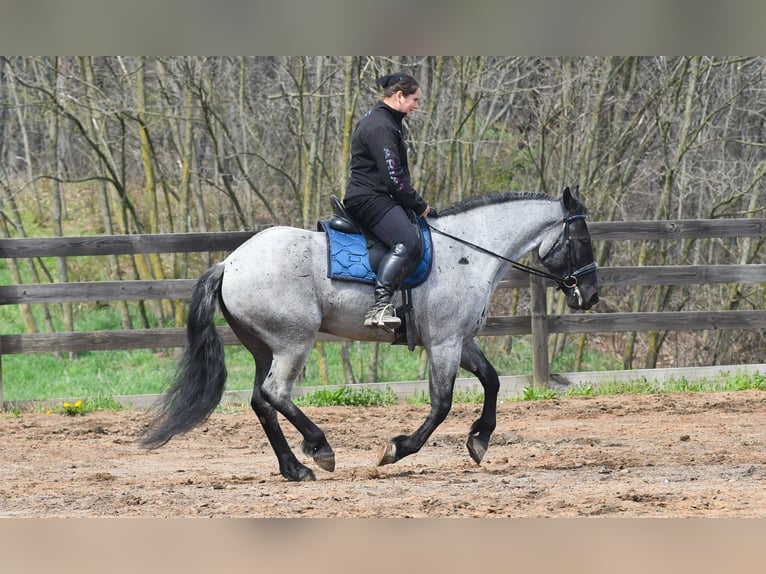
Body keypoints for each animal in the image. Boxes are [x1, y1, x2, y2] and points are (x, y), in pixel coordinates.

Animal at [141, 186, 599, 482]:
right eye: (580, 238)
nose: (590, 296)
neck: (468, 252)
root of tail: (230, 263)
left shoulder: (460, 342)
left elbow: (492, 380)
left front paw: (480, 439)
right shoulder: (445, 344)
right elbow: (442, 405)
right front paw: (397, 449)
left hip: (263, 348)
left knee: (261, 402)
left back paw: (294, 469)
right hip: (292, 343)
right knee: (275, 394)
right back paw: (320, 449)